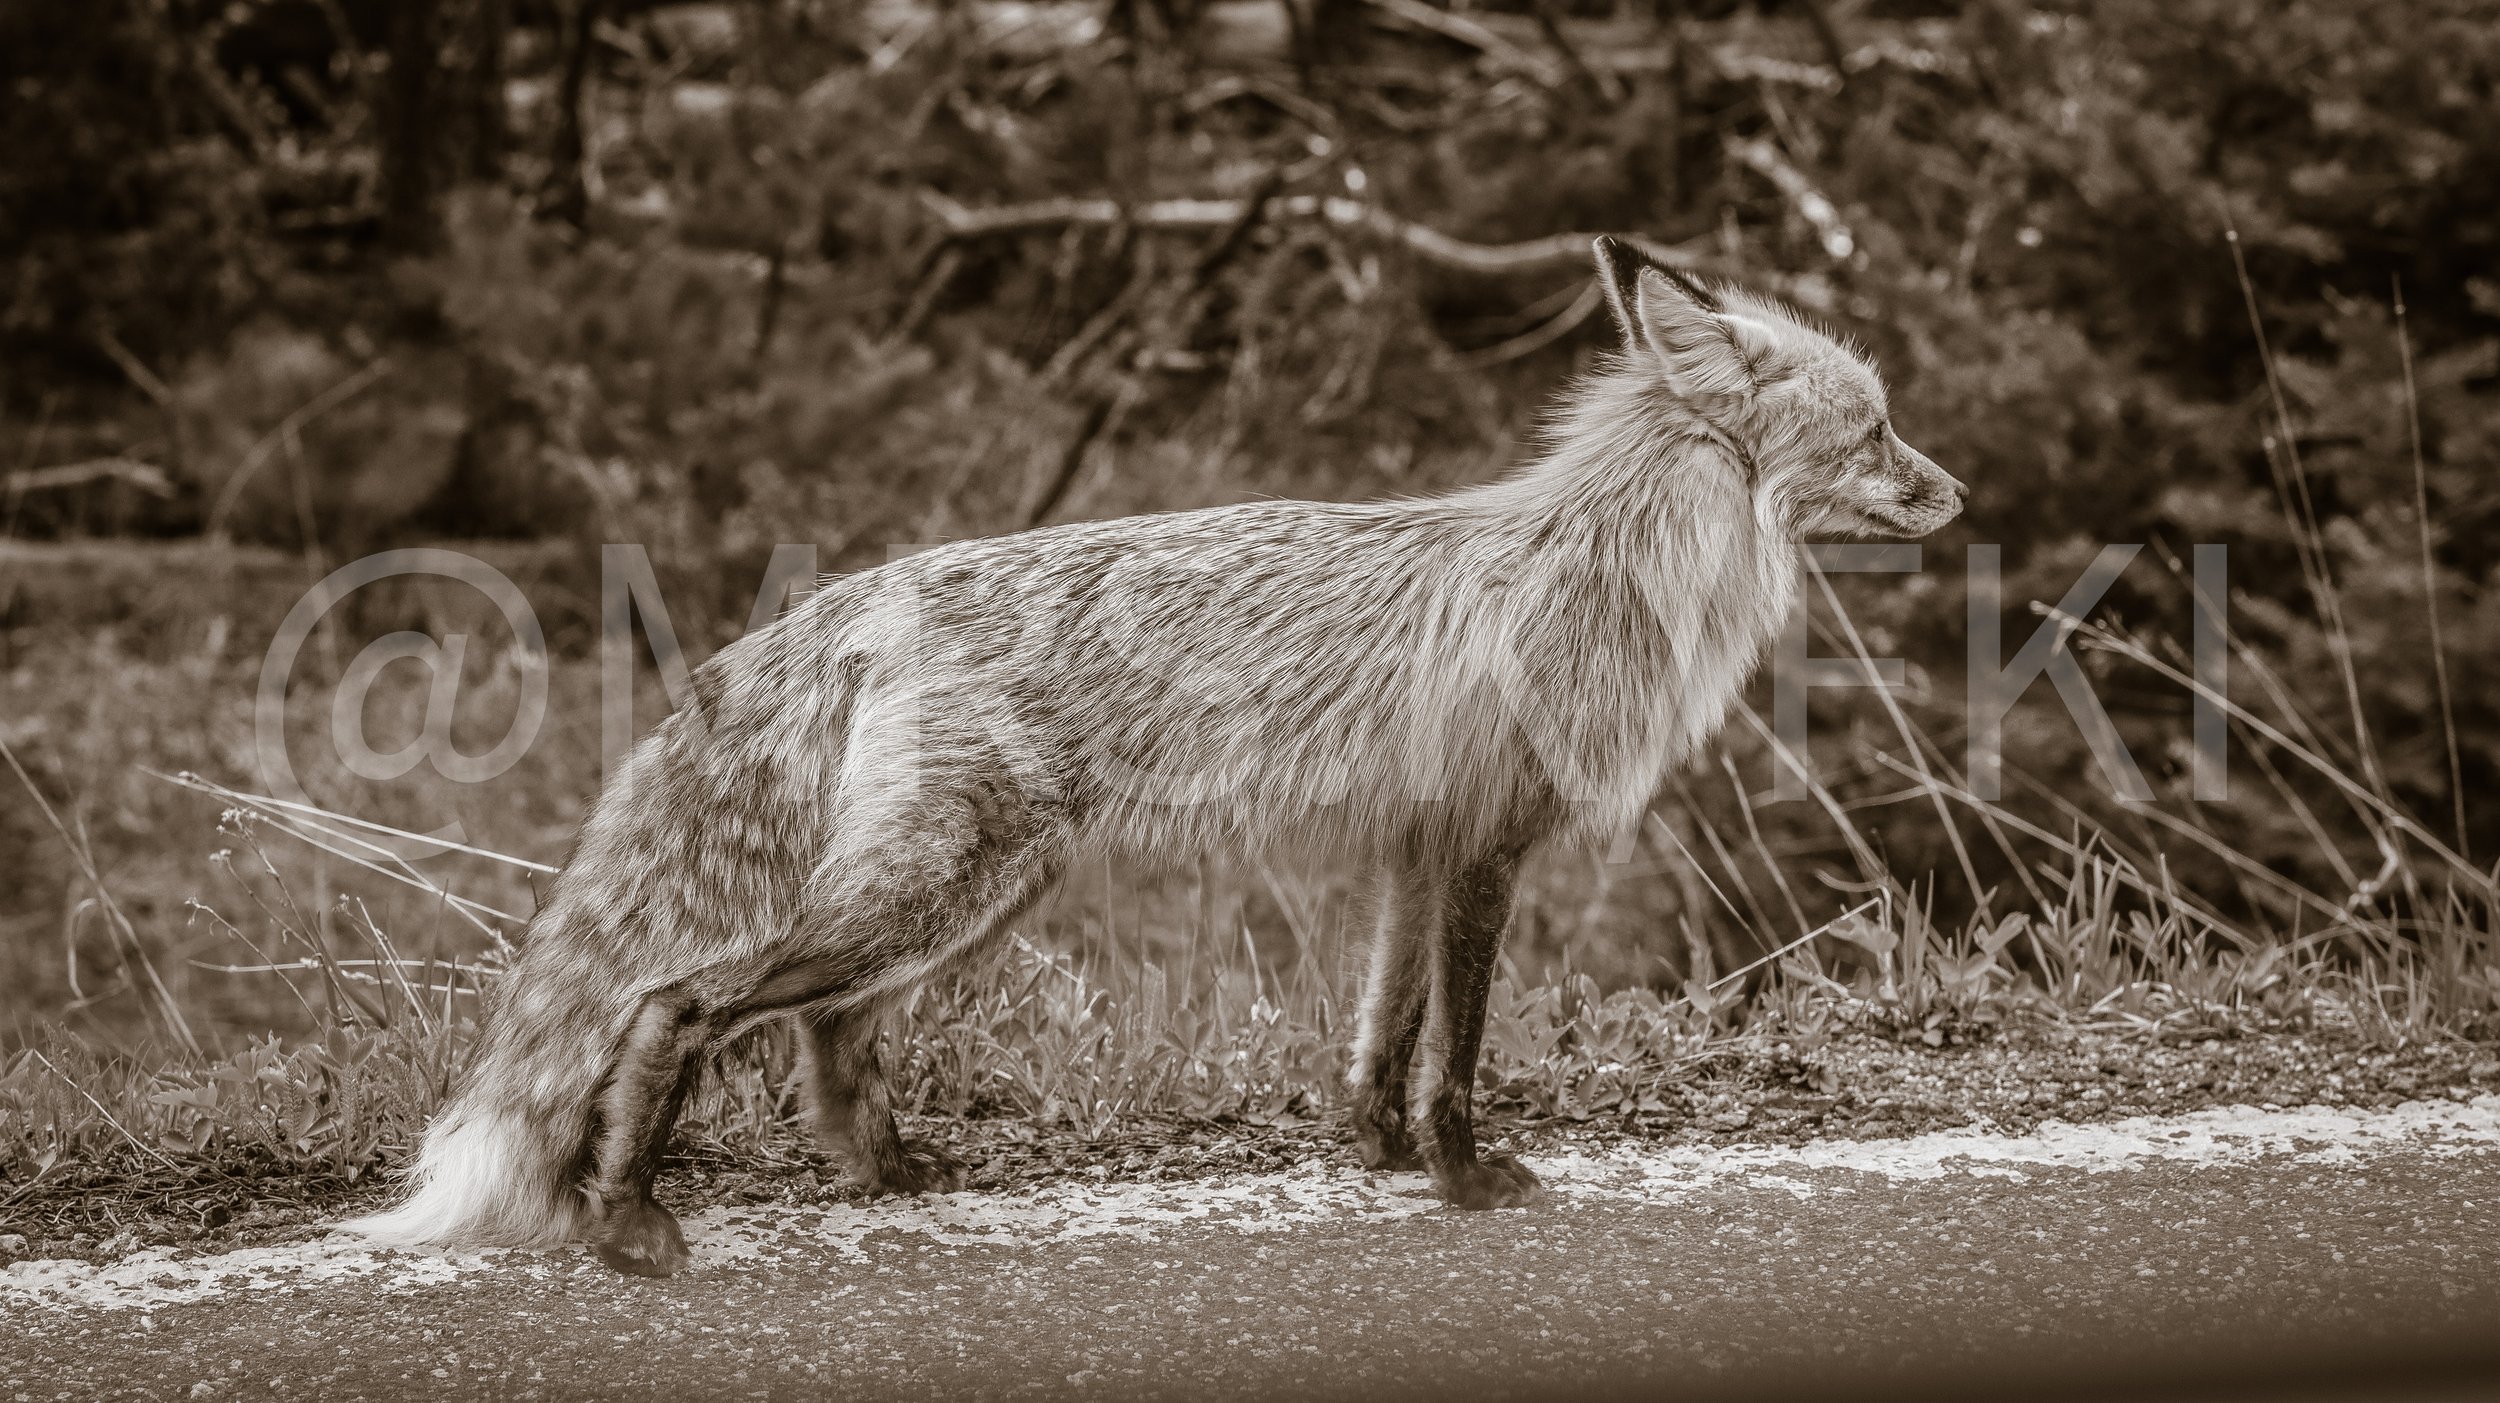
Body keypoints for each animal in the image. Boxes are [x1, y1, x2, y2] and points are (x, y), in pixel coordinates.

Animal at [347, 236, 1966, 1277]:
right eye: (1881, 429)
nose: (1957, 494)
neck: (1603, 568)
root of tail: (861, 589)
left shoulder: (1413, 846)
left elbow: (1380, 1033)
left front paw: (1377, 1156)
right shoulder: (1486, 843)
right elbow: (1456, 1047)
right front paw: (1461, 1174)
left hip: (970, 895)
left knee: (829, 1033)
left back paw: (891, 1173)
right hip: (938, 889)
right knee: (673, 1003)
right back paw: (626, 1218)